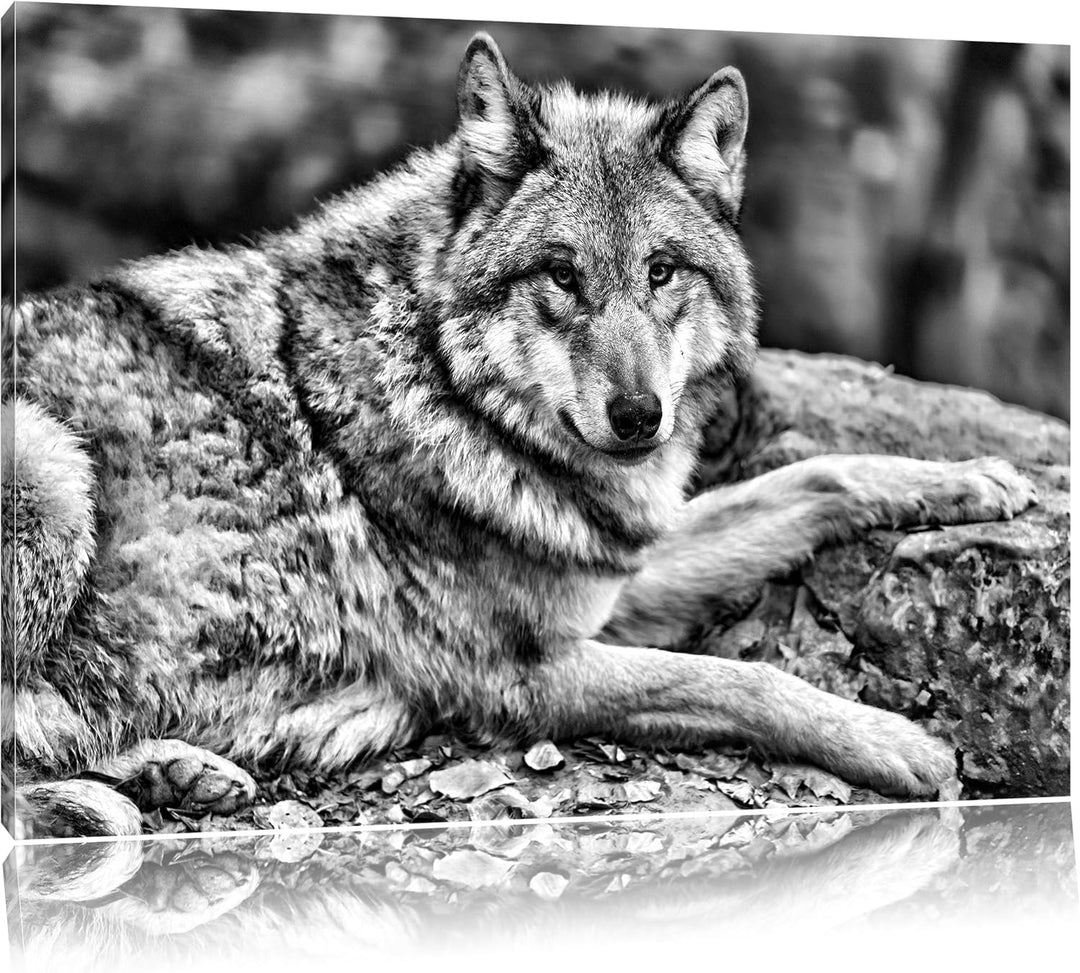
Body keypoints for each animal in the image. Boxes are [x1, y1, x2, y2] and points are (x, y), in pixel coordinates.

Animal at [2, 33, 1036, 837]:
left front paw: (974, 478)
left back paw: (177, 771)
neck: (448, 389)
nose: (639, 416)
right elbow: (745, 681)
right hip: (49, 471)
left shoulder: (614, 578)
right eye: (562, 275)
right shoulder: (523, 678)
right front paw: (898, 741)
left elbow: (813, 477)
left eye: (662, 271)